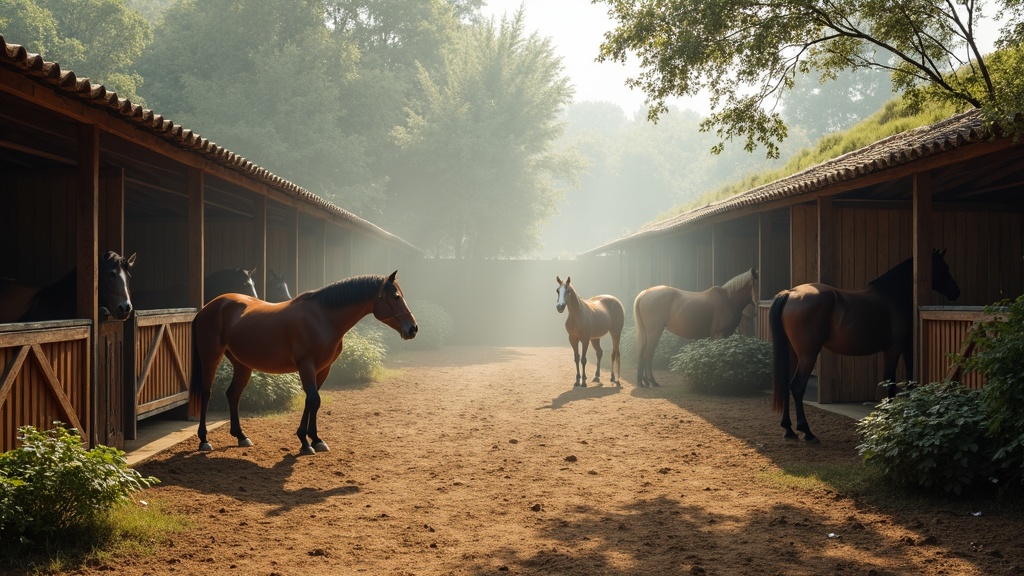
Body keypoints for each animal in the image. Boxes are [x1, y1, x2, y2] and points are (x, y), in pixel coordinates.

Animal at [190, 271, 417, 455]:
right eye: (396, 297)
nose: (413, 329)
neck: (322, 317)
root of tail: (207, 308)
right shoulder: (305, 365)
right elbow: (314, 399)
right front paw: (305, 442)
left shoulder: (322, 369)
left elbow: (312, 400)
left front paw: (314, 439)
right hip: (211, 357)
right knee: (206, 393)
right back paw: (204, 440)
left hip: (242, 364)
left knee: (233, 395)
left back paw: (241, 436)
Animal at [770, 249, 961, 443]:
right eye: (944, 267)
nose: (955, 292)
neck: (893, 295)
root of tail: (790, 293)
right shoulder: (894, 348)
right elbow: (890, 381)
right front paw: (890, 418)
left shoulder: (905, 347)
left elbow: (907, 378)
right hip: (808, 355)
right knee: (797, 387)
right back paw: (807, 431)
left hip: (792, 353)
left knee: (785, 385)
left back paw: (788, 429)